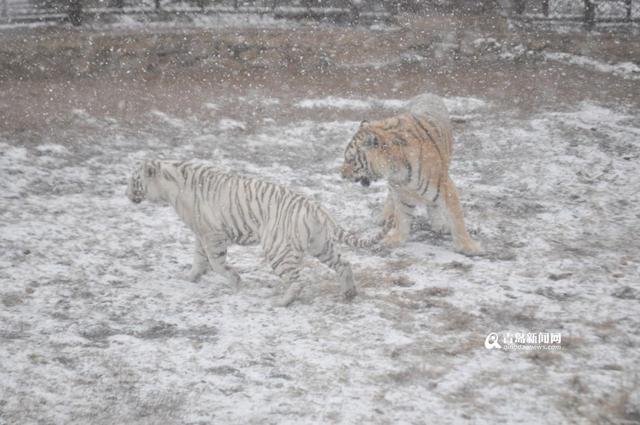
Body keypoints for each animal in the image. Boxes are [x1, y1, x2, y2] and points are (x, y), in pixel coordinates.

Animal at [125, 158, 380, 304]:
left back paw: (281, 302)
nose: (126, 194)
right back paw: (349, 294)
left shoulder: (213, 234)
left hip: (278, 249)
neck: (170, 186)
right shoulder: (201, 233)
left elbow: (216, 263)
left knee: (297, 281)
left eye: (133, 180)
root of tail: (316, 207)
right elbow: (198, 259)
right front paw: (190, 277)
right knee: (344, 264)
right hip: (321, 245)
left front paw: (235, 281)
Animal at [340, 93, 480, 255]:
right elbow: (402, 216)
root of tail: (427, 93)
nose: (341, 175)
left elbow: (457, 218)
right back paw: (384, 217)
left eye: (350, 159)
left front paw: (468, 246)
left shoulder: (445, 186)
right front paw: (395, 239)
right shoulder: (400, 191)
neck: (397, 170)